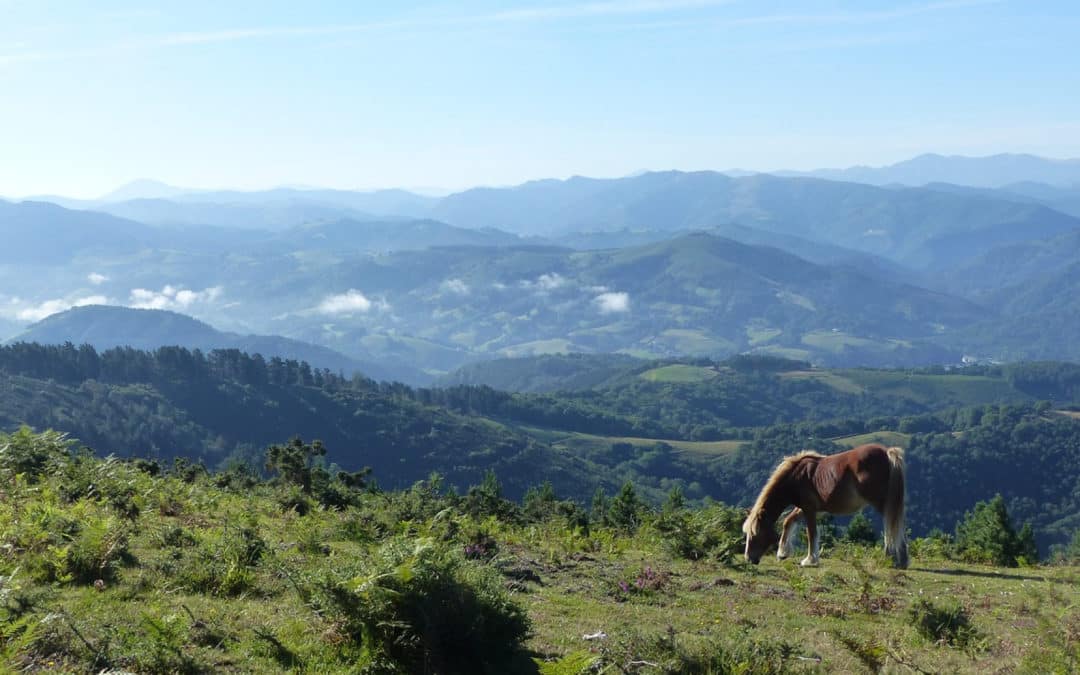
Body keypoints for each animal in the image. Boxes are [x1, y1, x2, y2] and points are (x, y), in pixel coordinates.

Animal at [738, 442, 907, 570]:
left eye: (754, 534)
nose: (748, 559)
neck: (796, 476)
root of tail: (887, 452)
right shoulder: (807, 508)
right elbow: (788, 521)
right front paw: (782, 553)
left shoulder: (809, 509)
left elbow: (811, 533)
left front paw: (810, 560)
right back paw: (901, 562)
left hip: (883, 503)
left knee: (891, 527)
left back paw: (891, 559)